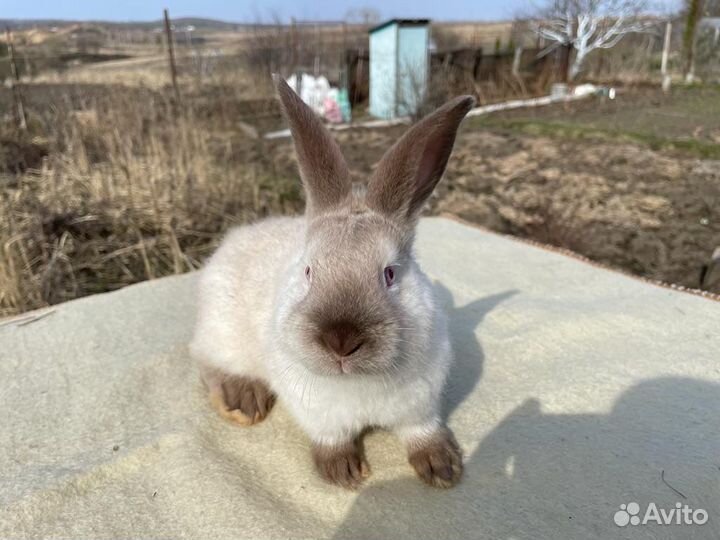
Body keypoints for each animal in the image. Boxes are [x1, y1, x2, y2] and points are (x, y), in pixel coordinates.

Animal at [190, 76, 475, 489]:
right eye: (309, 271)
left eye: (390, 274)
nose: (341, 340)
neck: (357, 384)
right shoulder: (320, 417)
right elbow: (332, 440)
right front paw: (346, 474)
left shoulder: (420, 408)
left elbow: (421, 432)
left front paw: (443, 469)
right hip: (223, 333)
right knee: (204, 360)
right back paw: (243, 401)